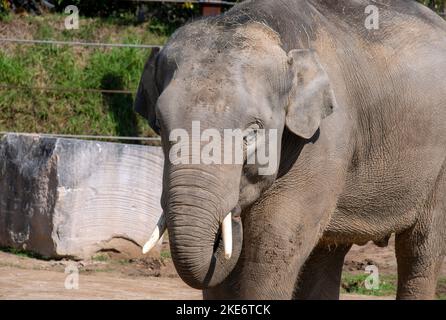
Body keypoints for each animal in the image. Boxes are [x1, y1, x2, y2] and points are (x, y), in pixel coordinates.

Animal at [135, 0, 446, 300]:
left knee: (420, 249)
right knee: (327, 252)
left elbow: (274, 244)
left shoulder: (325, 137)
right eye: (159, 126)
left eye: (252, 132)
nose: (234, 213)